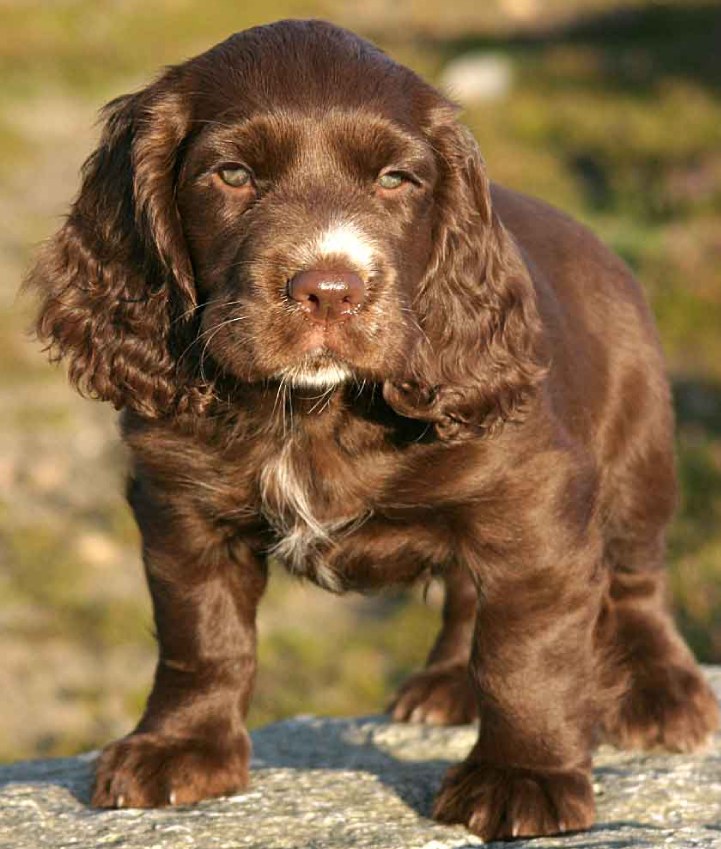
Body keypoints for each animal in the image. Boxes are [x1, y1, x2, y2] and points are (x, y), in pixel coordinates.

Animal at [25, 19, 716, 840]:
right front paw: (179, 749)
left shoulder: (532, 500)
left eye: (395, 181)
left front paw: (523, 777)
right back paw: (446, 684)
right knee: (468, 591)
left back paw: (661, 693)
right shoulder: (179, 501)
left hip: (640, 446)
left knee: (635, 577)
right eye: (232, 174)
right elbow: (202, 635)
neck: (314, 408)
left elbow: (527, 652)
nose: (330, 290)